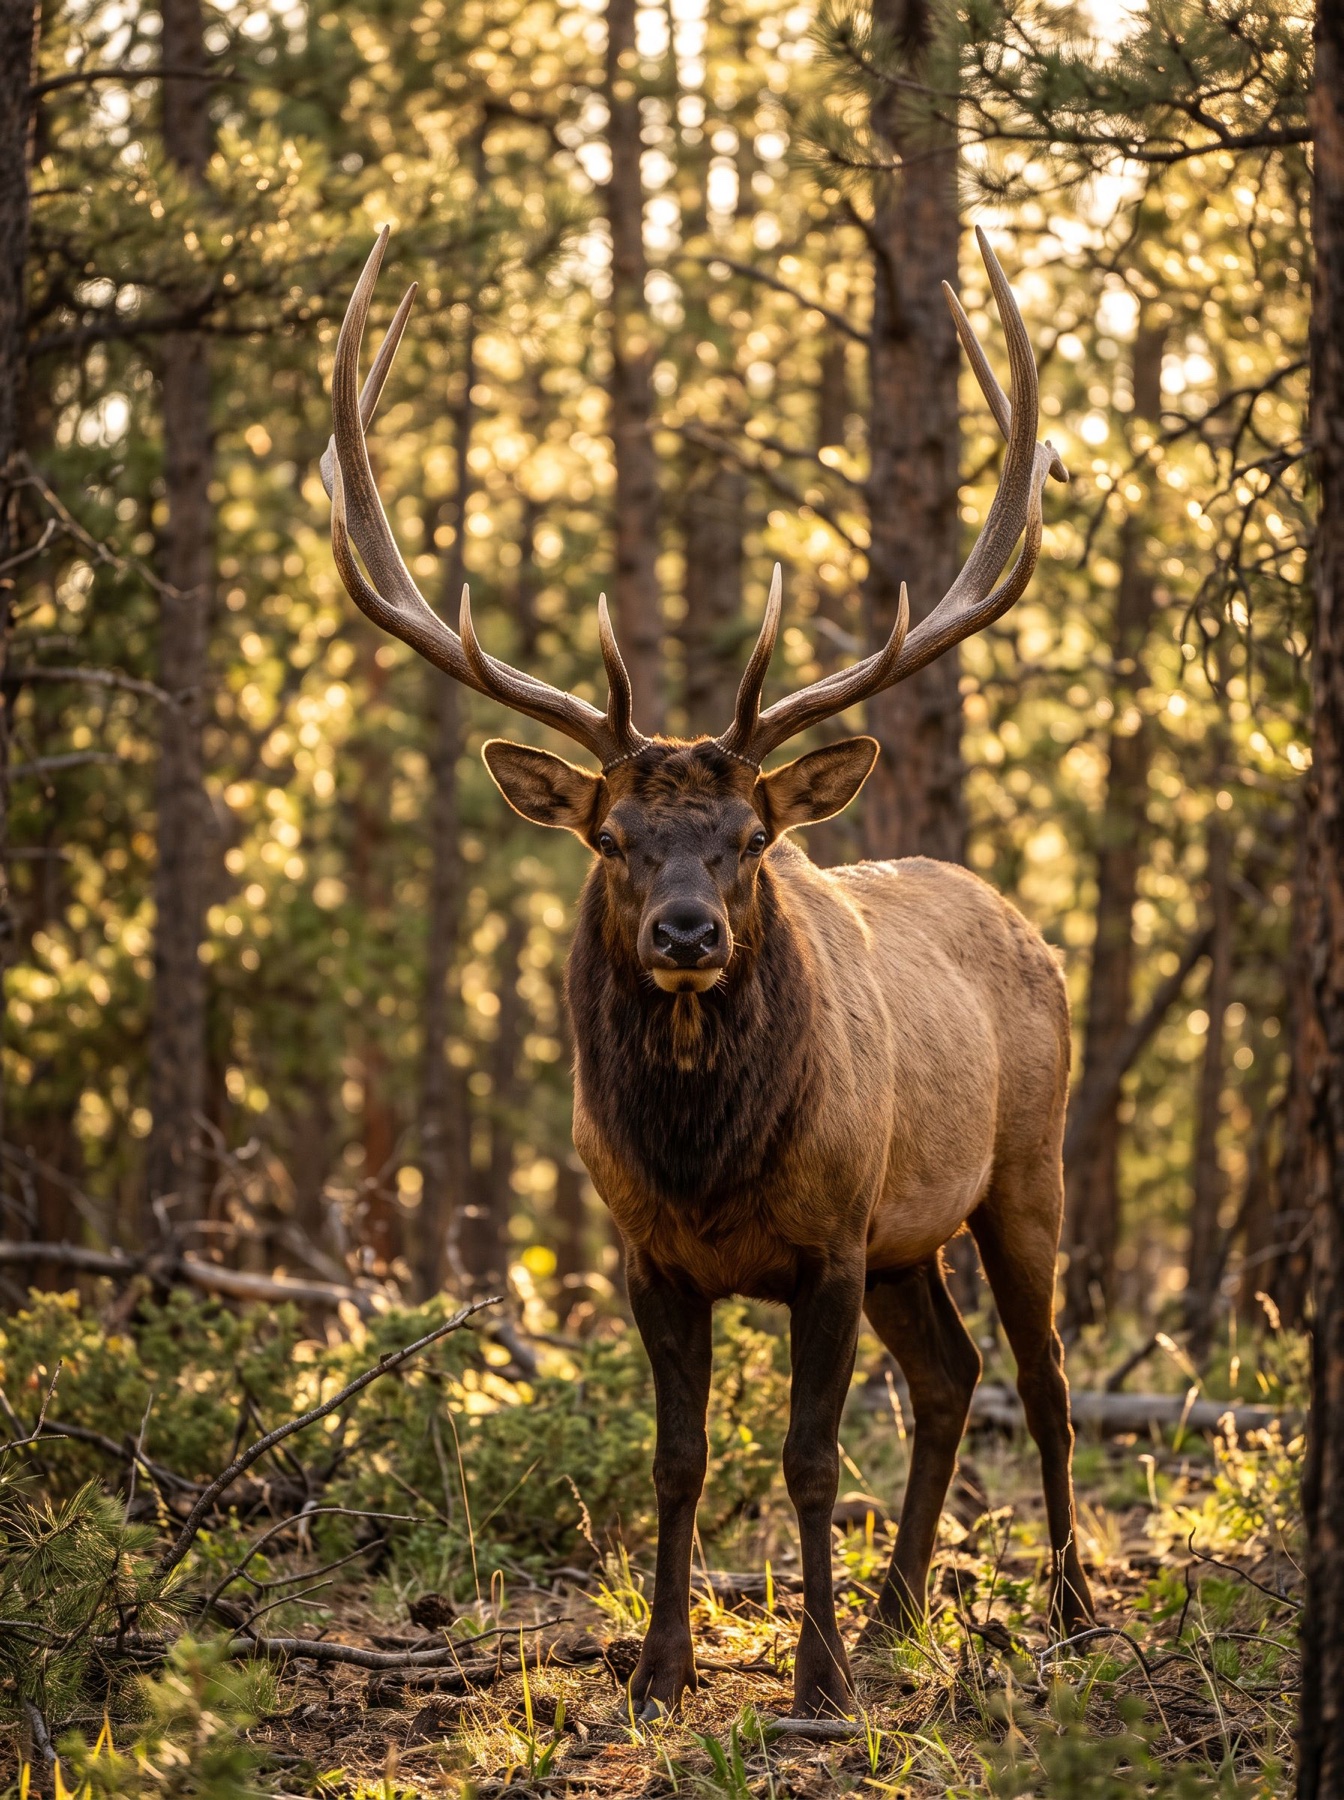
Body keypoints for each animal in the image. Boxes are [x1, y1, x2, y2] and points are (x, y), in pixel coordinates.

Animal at [319, 226, 1094, 1720]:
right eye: (614, 838)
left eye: (749, 839)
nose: (687, 934)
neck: (706, 1157)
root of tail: (1027, 928)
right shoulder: (649, 1255)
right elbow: (676, 1462)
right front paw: (659, 1670)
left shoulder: (833, 1240)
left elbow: (808, 1461)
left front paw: (818, 1680)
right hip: (915, 1233)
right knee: (954, 1376)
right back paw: (907, 1610)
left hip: (1022, 1169)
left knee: (1043, 1379)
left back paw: (1075, 1615)